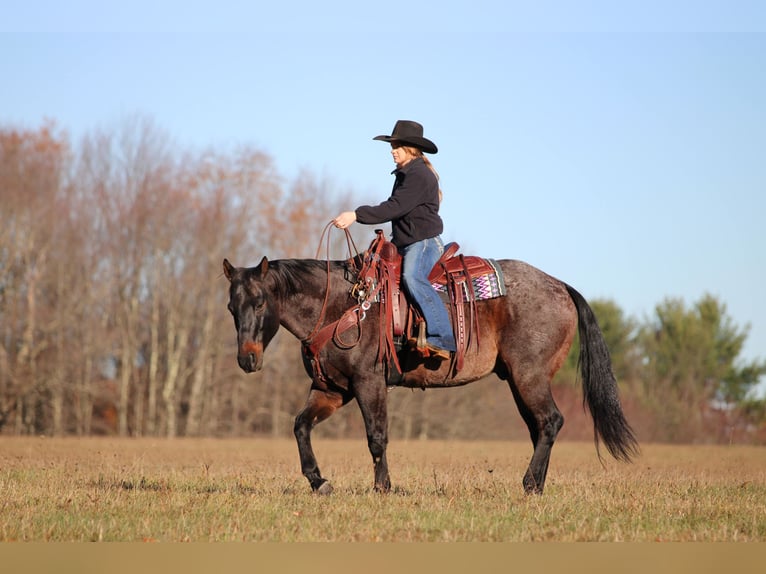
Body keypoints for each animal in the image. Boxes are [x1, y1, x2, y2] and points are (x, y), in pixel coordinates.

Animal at [222, 247, 638, 495]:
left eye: (260, 302)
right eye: (231, 307)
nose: (247, 359)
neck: (342, 306)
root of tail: (561, 286)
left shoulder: (368, 384)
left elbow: (377, 437)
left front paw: (383, 487)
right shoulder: (332, 390)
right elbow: (301, 426)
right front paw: (318, 481)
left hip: (529, 378)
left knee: (550, 422)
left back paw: (531, 483)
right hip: (519, 383)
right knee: (541, 428)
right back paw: (535, 484)